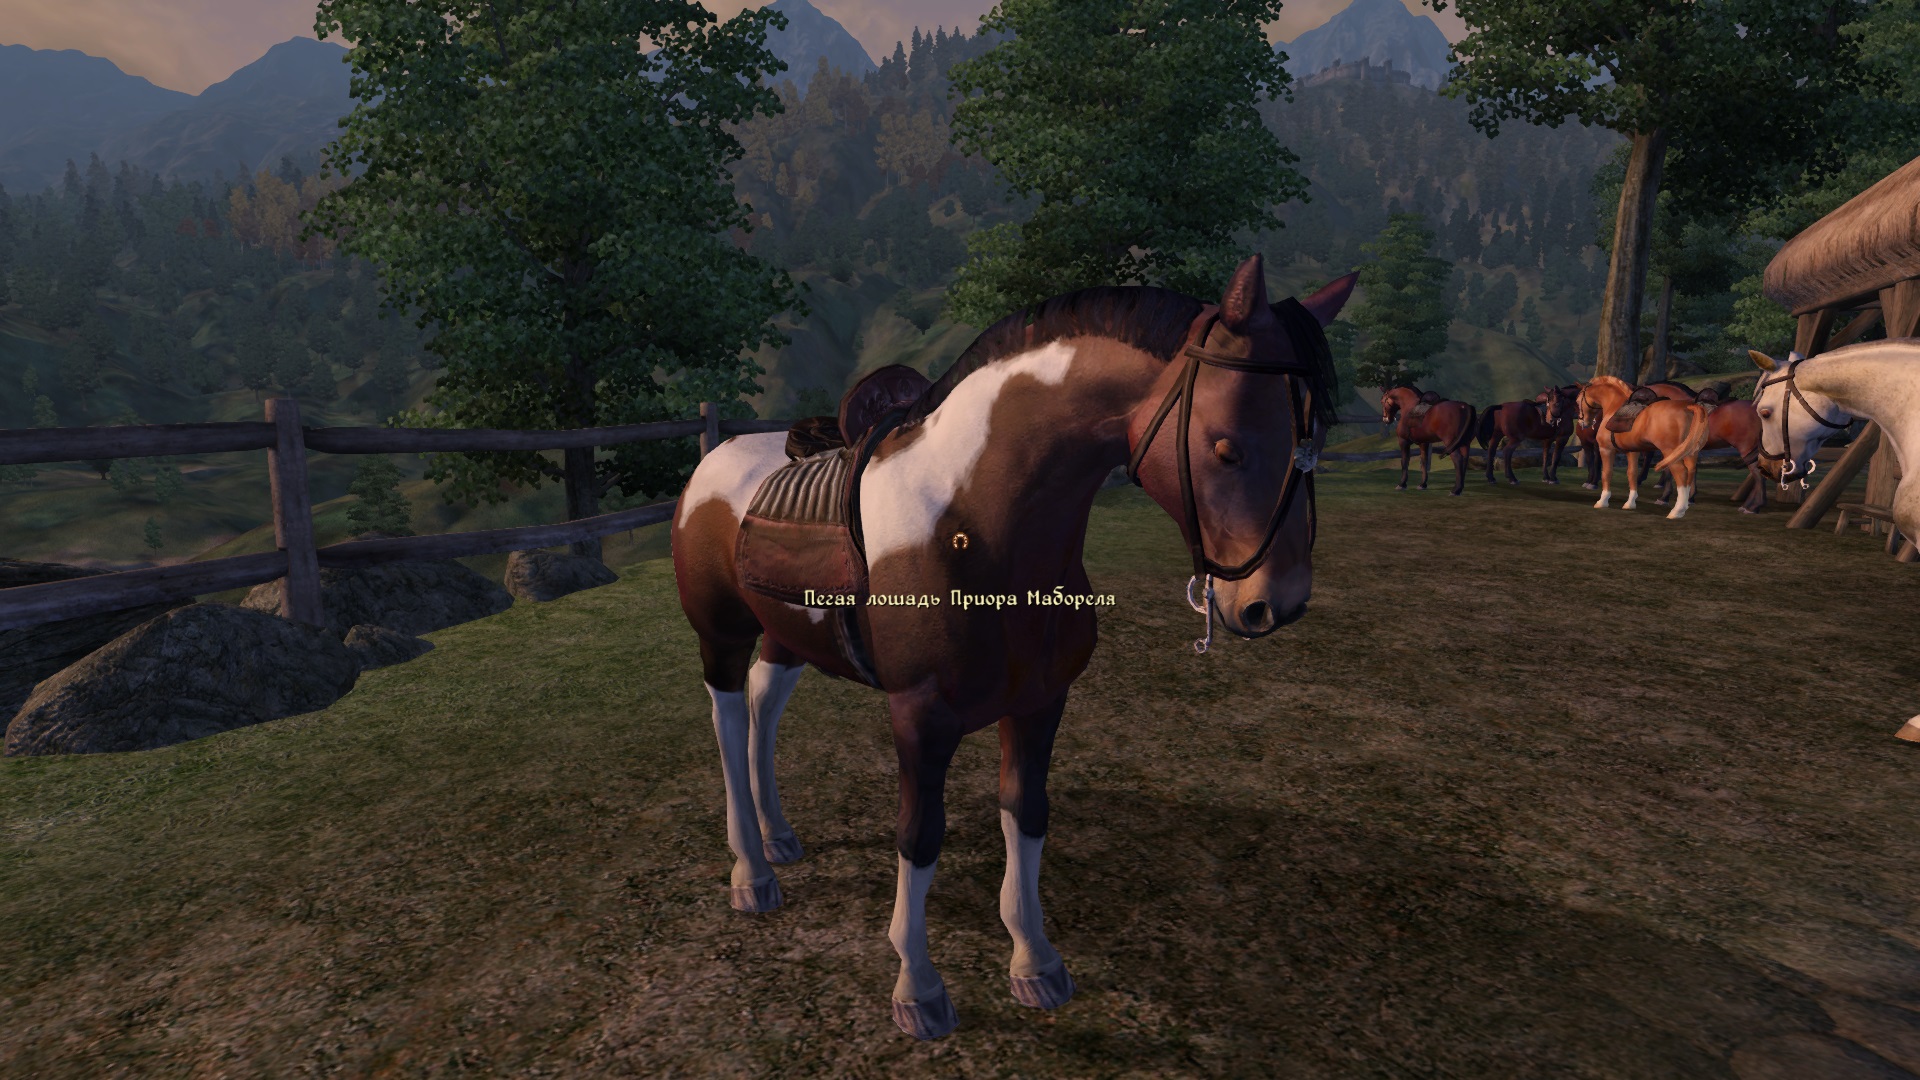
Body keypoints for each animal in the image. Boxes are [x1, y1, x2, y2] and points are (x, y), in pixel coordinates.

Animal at [672, 254, 1355, 1040]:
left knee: (763, 702)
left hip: (789, 635)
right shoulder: (919, 717)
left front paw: (1034, 963)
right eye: (1225, 445)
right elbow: (919, 836)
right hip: (721, 633)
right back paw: (752, 872)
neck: (976, 522)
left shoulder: (1039, 703)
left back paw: (778, 835)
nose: (1275, 602)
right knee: (728, 721)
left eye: (1315, 439)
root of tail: (717, 457)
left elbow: (1026, 814)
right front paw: (918, 988)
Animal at [1579, 375, 1713, 518]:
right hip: (1690, 452)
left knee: (1682, 473)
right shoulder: (1632, 451)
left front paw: (1602, 501)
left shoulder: (1606, 449)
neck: (1613, 407)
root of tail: (1689, 408)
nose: (1583, 423)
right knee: (1691, 471)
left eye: (1577, 400)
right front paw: (1630, 503)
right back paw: (1685, 505)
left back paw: (1677, 511)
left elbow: (1607, 473)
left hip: (1670, 451)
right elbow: (1632, 473)